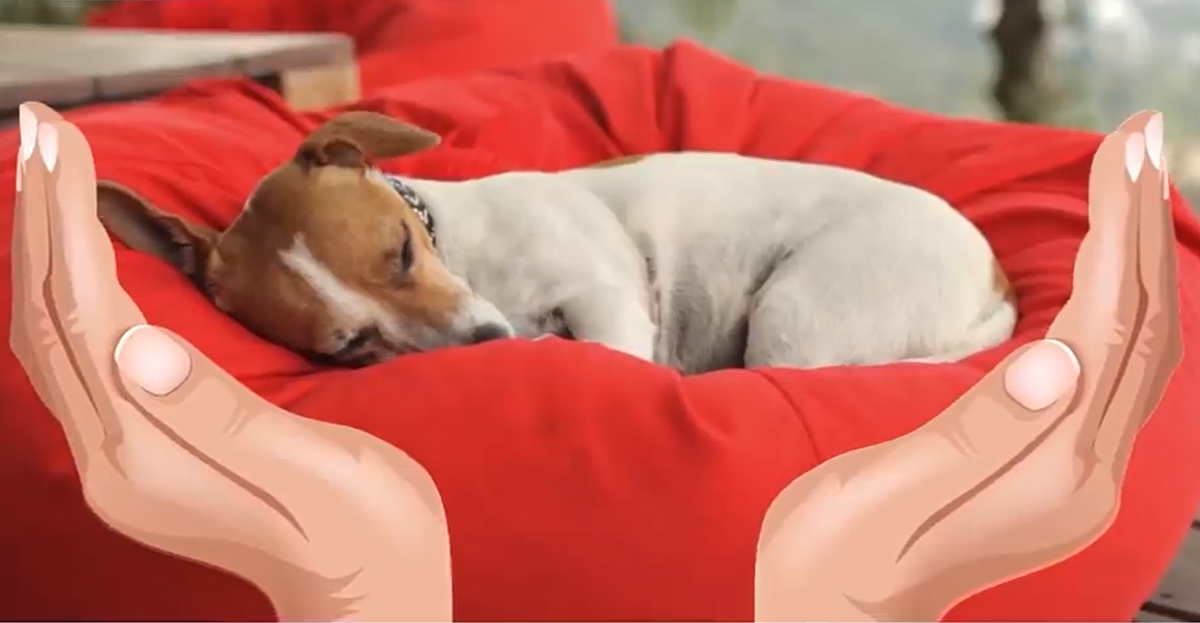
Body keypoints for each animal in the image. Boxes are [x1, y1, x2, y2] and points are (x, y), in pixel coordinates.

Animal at [97, 111, 1017, 374]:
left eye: (403, 250)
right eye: (351, 345)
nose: (488, 338)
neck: (469, 255)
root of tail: (997, 285)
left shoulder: (604, 298)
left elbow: (607, 344)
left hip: (795, 314)